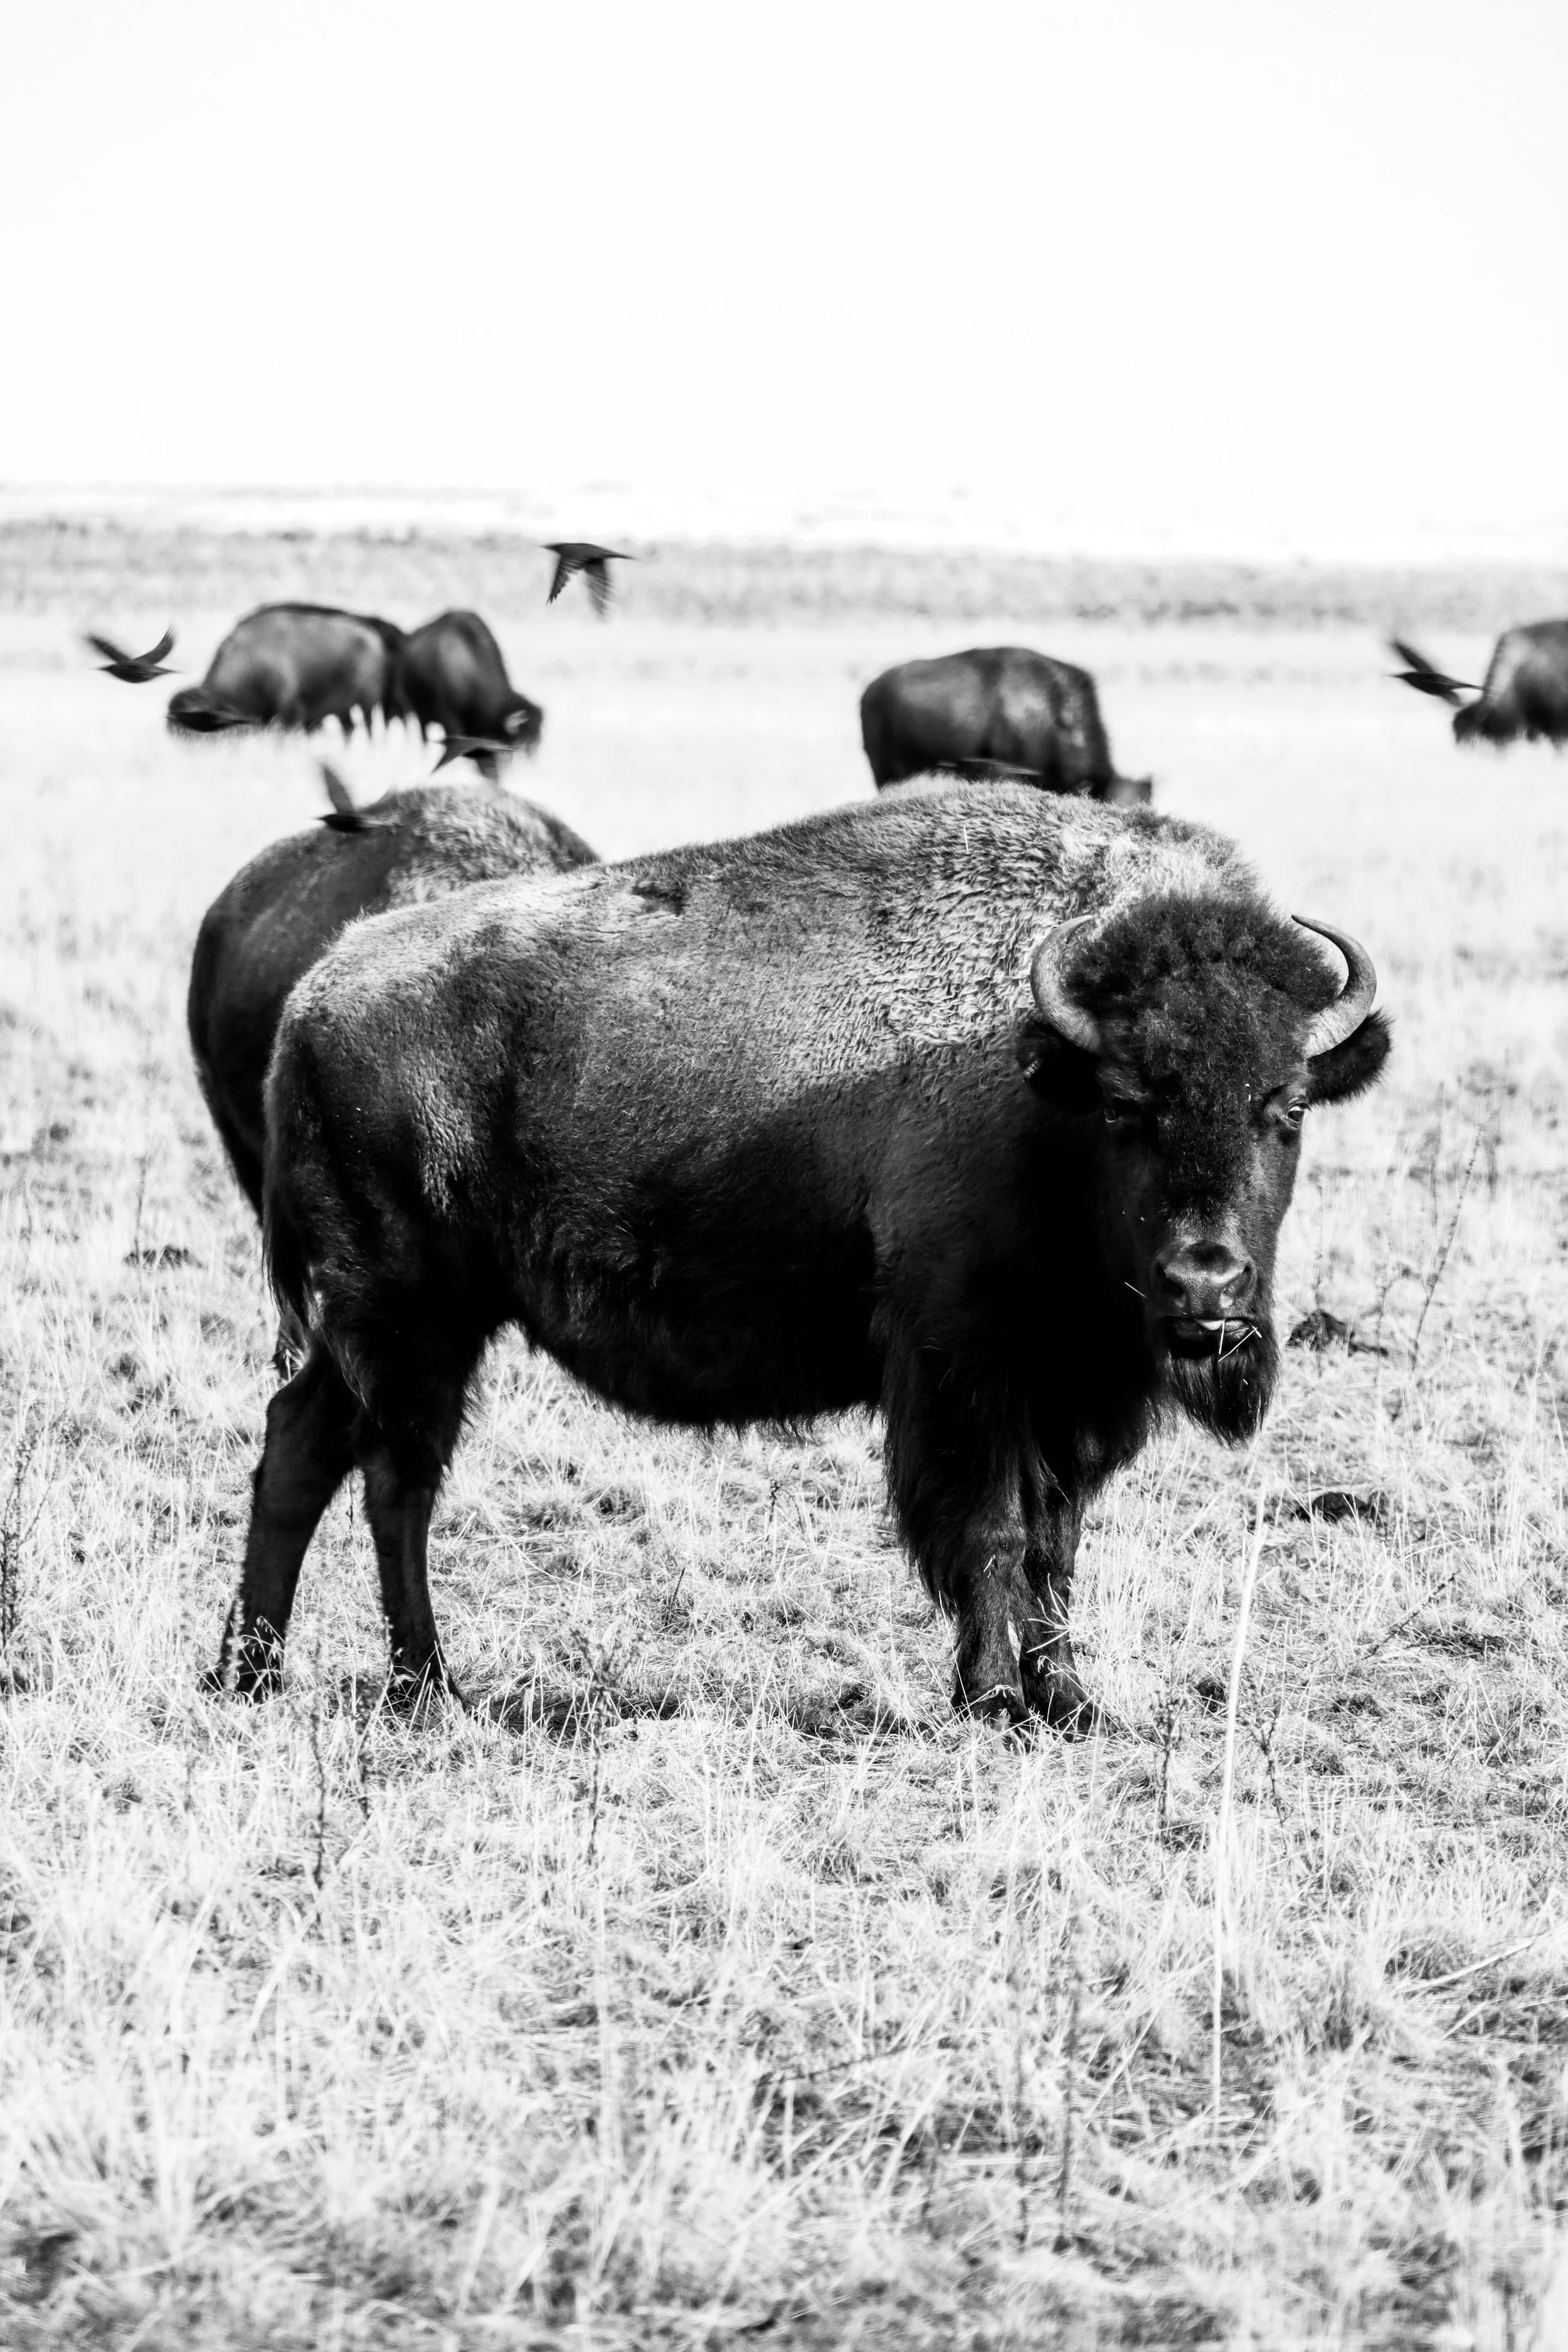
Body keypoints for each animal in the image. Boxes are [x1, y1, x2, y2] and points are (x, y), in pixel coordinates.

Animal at [167, 603, 406, 738]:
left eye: (194, 726)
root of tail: (371, 637)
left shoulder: (290, 711)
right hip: (344, 708)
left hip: (367, 702)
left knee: (368, 726)